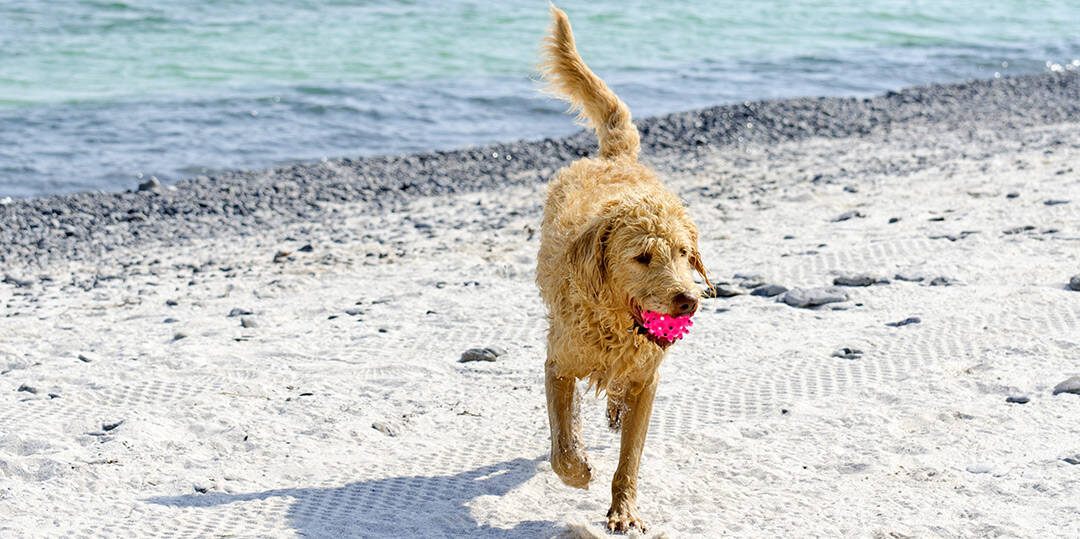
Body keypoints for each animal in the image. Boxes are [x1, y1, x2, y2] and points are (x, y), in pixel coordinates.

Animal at [533, 6, 708, 533]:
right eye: (642, 257)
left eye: (684, 253)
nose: (687, 300)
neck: (612, 325)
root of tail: (614, 158)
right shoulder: (559, 363)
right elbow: (562, 443)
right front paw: (578, 470)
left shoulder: (647, 381)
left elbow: (630, 456)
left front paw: (624, 509)